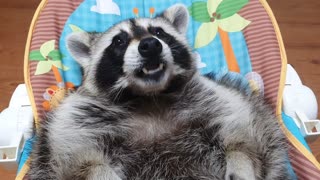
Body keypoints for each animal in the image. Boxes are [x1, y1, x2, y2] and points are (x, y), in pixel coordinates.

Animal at [28, 4, 292, 180]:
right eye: (119, 41)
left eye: (158, 32)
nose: (150, 45)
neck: (150, 97)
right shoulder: (74, 123)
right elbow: (83, 162)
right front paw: (98, 170)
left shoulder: (219, 101)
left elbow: (244, 142)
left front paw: (240, 162)